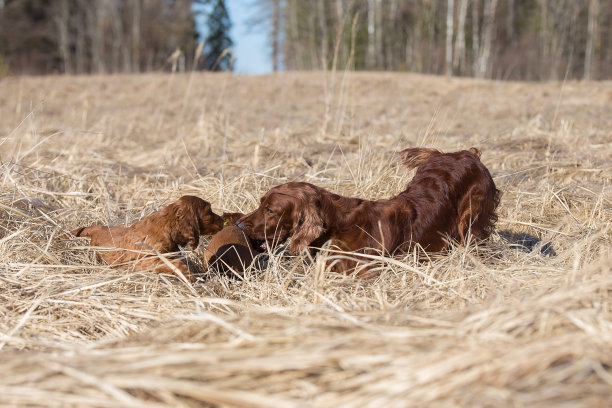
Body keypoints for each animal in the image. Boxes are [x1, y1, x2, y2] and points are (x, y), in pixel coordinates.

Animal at [70, 196, 222, 282]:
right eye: (209, 211)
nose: (223, 220)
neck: (166, 226)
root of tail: (96, 228)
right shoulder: (142, 262)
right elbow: (174, 264)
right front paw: (189, 276)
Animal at [237, 147, 500, 274]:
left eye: (270, 210)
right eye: (261, 203)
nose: (238, 224)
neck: (338, 226)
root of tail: (468, 154)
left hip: (472, 220)